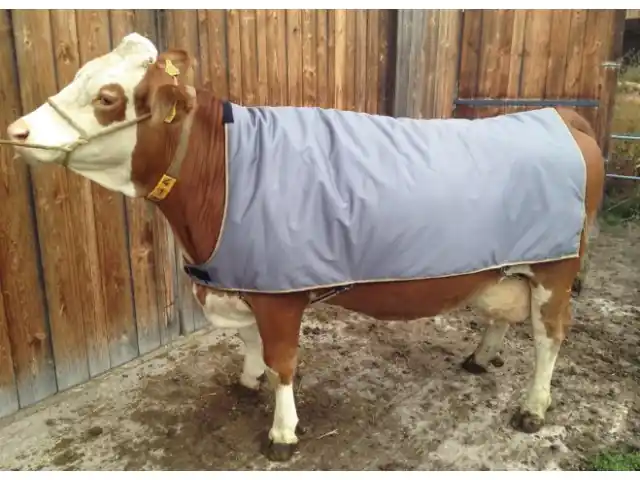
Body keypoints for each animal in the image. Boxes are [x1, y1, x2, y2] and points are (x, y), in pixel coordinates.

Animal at [3, 33, 605, 462]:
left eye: (107, 98)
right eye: (77, 75)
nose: (18, 131)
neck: (223, 173)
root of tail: (559, 114)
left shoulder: (279, 294)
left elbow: (284, 363)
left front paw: (283, 433)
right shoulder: (244, 278)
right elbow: (250, 346)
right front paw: (248, 379)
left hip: (555, 269)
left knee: (550, 335)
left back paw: (533, 407)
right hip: (507, 261)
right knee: (501, 311)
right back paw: (482, 357)